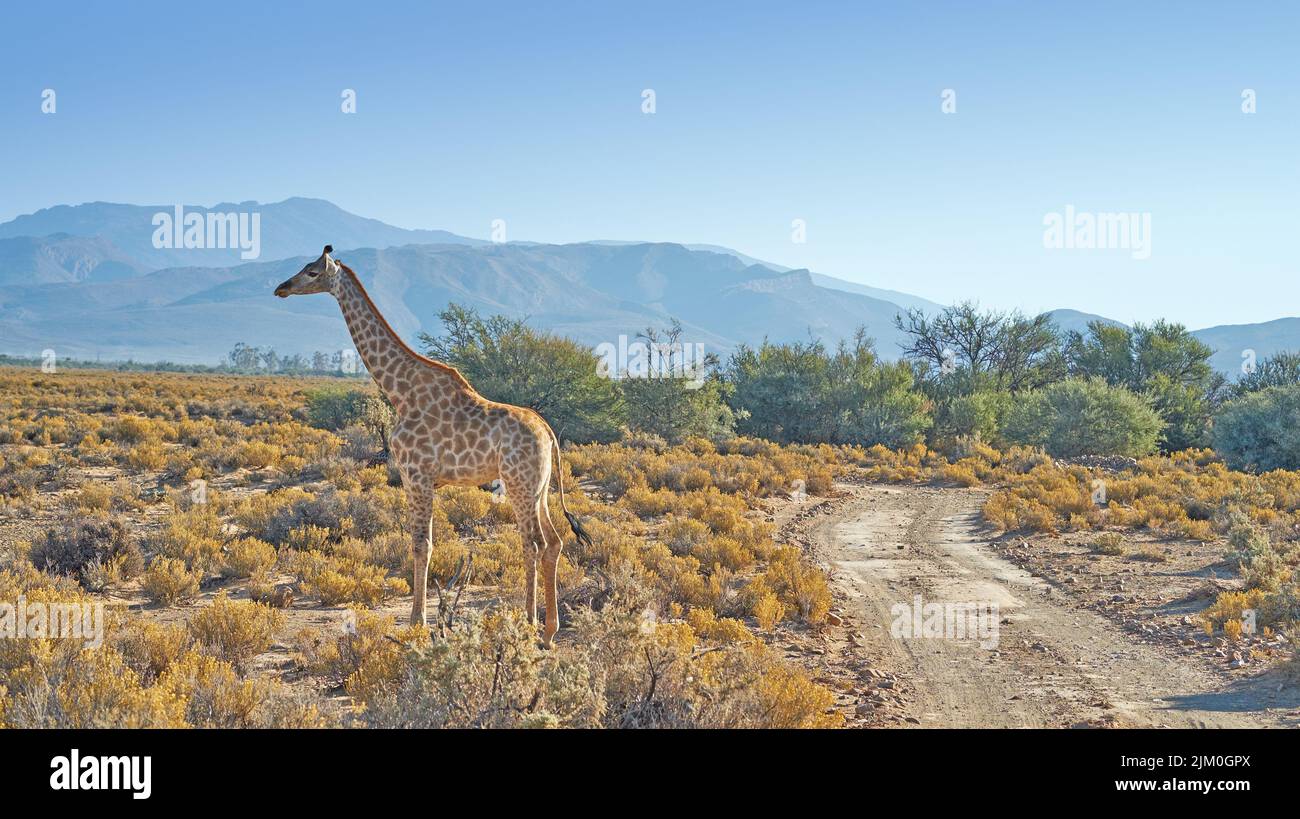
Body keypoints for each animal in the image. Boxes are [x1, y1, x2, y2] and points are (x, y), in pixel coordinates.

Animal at [274, 245, 591, 645]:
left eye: (313, 272)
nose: (281, 288)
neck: (400, 392)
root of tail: (548, 432)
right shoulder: (424, 479)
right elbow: (425, 544)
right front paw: (421, 620)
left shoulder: (416, 475)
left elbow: (420, 545)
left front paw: (417, 623)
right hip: (540, 487)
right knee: (553, 542)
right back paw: (549, 632)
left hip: (519, 484)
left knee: (533, 542)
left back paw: (531, 624)